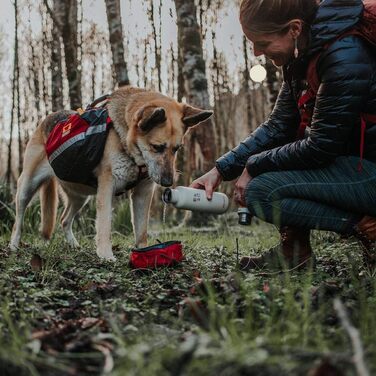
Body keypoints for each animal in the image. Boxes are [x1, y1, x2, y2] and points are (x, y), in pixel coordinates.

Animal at [8, 86, 213, 260]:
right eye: (157, 147)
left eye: (177, 149)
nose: (167, 182)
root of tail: (48, 119)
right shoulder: (107, 189)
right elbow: (105, 225)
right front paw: (106, 255)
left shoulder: (143, 193)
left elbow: (141, 230)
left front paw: (144, 252)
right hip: (27, 186)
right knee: (19, 220)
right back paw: (13, 245)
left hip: (81, 196)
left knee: (65, 219)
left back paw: (73, 245)